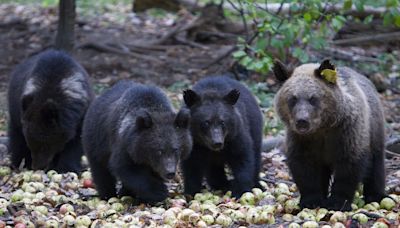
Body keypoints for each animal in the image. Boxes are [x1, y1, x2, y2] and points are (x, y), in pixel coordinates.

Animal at [274, 59, 386, 211]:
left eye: (313, 98)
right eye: (292, 99)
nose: (302, 121)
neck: (322, 128)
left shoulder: (347, 133)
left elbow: (349, 167)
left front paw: (338, 202)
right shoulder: (301, 140)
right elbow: (304, 168)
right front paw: (311, 200)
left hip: (374, 130)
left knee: (376, 164)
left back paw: (376, 195)